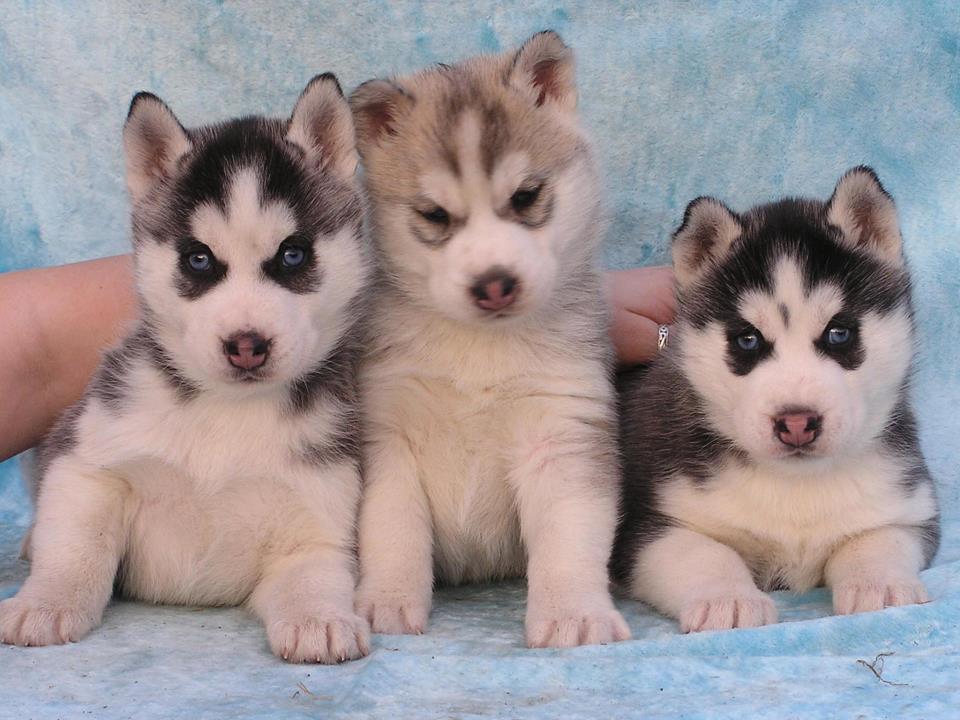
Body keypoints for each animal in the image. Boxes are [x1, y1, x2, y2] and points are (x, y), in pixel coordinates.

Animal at [0, 76, 372, 660]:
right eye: (198, 259)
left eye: (292, 254)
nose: (247, 345)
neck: (228, 410)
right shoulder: (87, 461)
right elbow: (75, 548)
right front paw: (45, 603)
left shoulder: (317, 513)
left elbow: (313, 573)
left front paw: (321, 618)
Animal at [344, 31, 632, 648]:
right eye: (434, 214)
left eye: (526, 196)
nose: (494, 283)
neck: (480, 349)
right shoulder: (388, 436)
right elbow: (392, 529)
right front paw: (388, 600)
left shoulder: (562, 434)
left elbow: (569, 540)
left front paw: (573, 613)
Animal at [612, 167, 940, 632]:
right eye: (748, 340)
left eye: (839, 333)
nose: (797, 422)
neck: (796, 485)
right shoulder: (648, 525)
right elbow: (703, 553)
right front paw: (727, 599)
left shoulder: (908, 509)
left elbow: (876, 540)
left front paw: (881, 585)